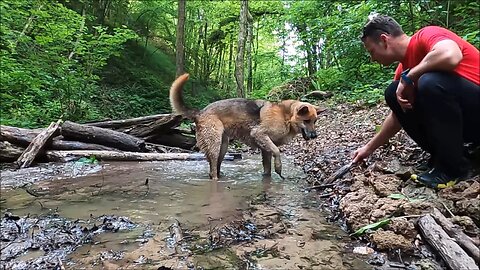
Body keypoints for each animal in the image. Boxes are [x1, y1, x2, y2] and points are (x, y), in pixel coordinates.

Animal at [169, 73, 322, 179]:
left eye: (315, 121)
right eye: (307, 120)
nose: (315, 136)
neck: (286, 116)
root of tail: (200, 112)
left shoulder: (265, 149)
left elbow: (267, 168)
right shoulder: (260, 134)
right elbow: (277, 151)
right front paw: (279, 168)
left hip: (223, 147)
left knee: (215, 167)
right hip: (215, 145)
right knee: (212, 170)